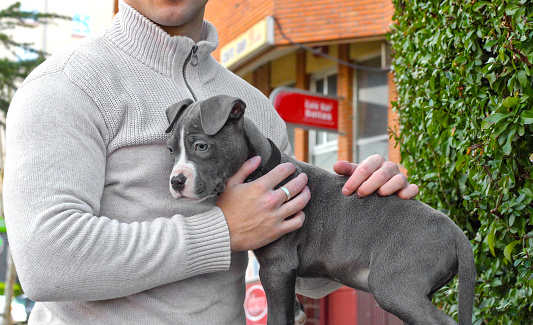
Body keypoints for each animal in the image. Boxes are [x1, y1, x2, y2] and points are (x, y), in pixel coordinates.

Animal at [164, 95, 476, 322]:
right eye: (170, 151)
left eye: (201, 146)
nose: (176, 181)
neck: (262, 169)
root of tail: (455, 231)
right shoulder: (283, 271)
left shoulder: (276, 265)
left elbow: (277, 316)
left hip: (396, 287)